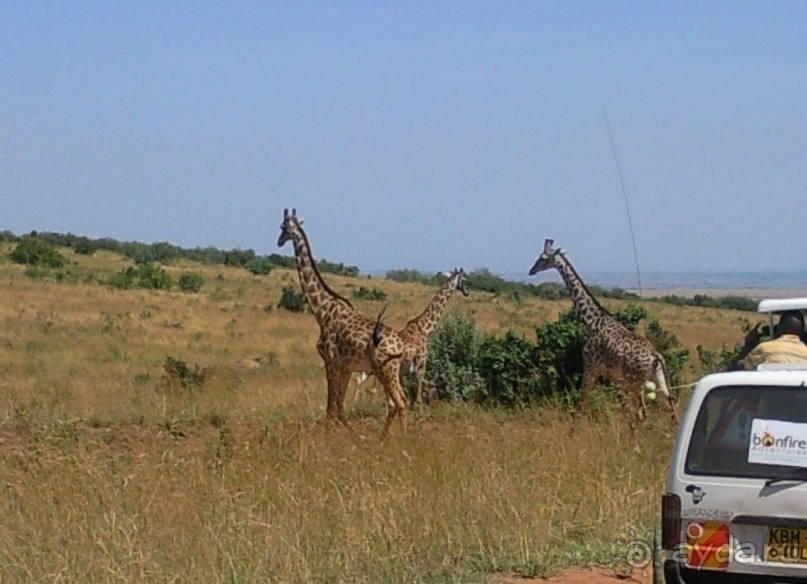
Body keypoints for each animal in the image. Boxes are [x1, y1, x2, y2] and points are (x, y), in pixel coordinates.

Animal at [276, 210, 410, 438]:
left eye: (283, 227)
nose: (279, 241)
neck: (321, 311)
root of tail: (401, 346)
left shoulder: (330, 362)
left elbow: (331, 407)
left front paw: (330, 437)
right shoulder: (346, 368)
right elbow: (339, 406)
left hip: (386, 370)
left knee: (400, 403)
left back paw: (402, 440)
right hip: (388, 371)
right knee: (398, 402)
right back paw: (384, 439)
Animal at [528, 240, 680, 422]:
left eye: (543, 258)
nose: (531, 270)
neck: (592, 322)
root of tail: (655, 355)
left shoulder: (590, 368)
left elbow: (582, 403)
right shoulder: (614, 377)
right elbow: (624, 409)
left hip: (637, 382)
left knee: (643, 412)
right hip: (657, 379)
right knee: (671, 405)